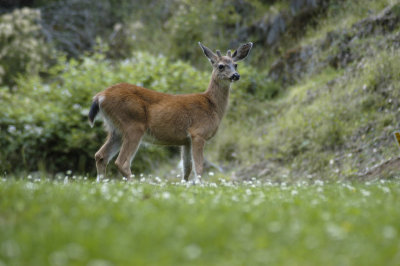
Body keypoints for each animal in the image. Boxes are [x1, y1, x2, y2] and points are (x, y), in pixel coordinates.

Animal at [88, 41, 252, 183]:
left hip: (115, 129)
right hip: (133, 124)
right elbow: (199, 167)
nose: (236, 75)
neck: (212, 106)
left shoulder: (186, 140)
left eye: (236, 64)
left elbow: (187, 168)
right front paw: (200, 185)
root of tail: (100, 96)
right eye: (221, 66)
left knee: (100, 155)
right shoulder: (198, 133)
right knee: (121, 162)